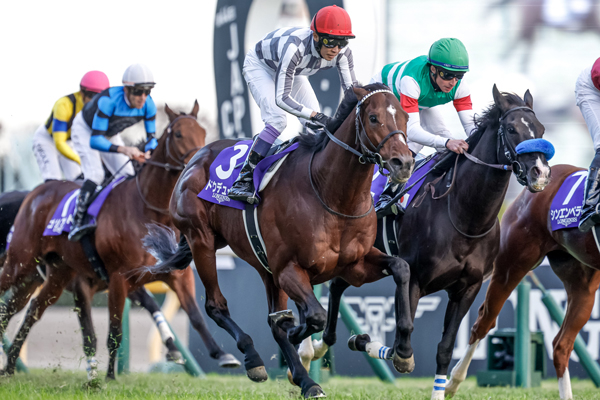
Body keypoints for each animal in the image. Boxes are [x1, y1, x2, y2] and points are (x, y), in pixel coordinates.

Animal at [0, 101, 239, 380]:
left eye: (202, 132)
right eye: (178, 134)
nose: (201, 162)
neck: (146, 209)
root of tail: (37, 193)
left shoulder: (176, 275)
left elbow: (195, 316)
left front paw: (222, 355)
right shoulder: (116, 278)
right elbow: (111, 330)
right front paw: (108, 376)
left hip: (51, 276)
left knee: (29, 310)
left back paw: (10, 366)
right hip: (20, 263)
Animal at [144, 84, 418, 396]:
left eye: (406, 118)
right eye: (373, 118)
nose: (403, 163)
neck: (331, 193)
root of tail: (196, 158)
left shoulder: (354, 264)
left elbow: (401, 268)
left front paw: (403, 352)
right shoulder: (289, 268)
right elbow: (312, 317)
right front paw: (298, 335)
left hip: (263, 266)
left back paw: (307, 381)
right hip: (202, 240)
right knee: (216, 305)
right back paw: (254, 359)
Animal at [312, 85, 556, 400]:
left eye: (541, 129)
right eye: (512, 129)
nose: (541, 173)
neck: (464, 217)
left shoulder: (467, 288)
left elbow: (445, 348)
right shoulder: (414, 279)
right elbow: (403, 338)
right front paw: (384, 349)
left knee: (338, 284)